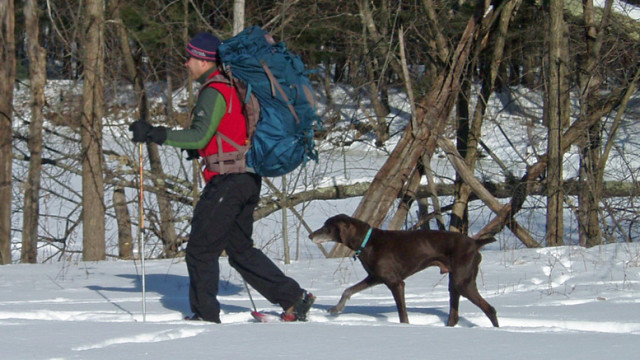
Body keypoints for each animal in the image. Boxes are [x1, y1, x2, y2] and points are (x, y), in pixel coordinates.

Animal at [310, 215, 500, 328]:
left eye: (326, 227)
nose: (310, 236)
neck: (367, 241)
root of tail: (475, 243)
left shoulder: (395, 283)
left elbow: (403, 315)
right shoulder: (375, 277)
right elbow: (348, 290)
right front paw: (336, 309)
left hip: (462, 283)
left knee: (490, 309)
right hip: (454, 284)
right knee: (454, 316)